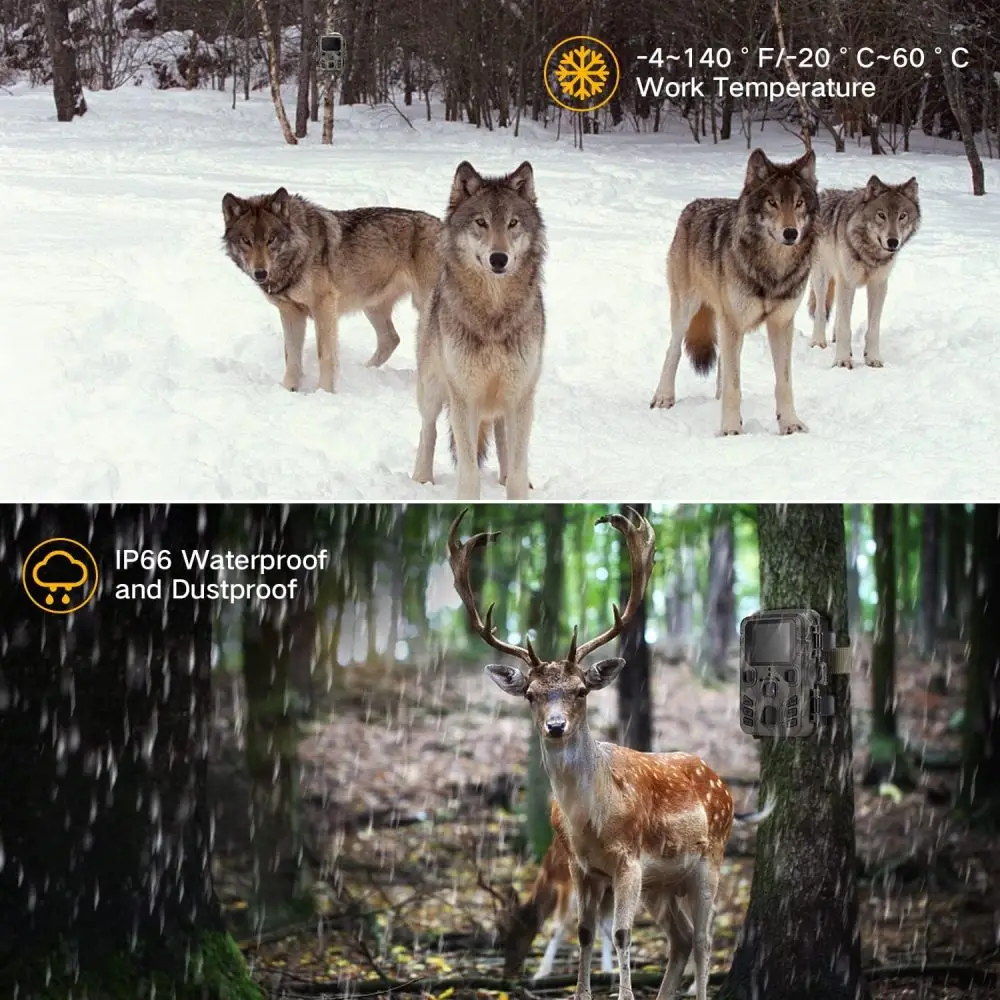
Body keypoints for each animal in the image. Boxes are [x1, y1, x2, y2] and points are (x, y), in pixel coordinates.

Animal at [223, 188, 442, 390]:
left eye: (271, 240)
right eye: (246, 240)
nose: (260, 273)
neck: (299, 252)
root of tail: (442, 224)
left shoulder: (324, 307)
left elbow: (325, 355)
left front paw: (324, 391)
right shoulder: (290, 313)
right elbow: (291, 356)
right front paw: (288, 389)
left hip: (425, 312)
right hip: (372, 307)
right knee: (391, 339)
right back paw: (363, 371)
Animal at [410, 162, 548, 500]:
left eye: (512, 223)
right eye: (481, 222)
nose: (499, 258)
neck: (493, 316)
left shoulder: (520, 394)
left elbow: (517, 468)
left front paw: (517, 492)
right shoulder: (464, 396)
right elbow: (469, 470)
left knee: (502, 440)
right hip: (433, 388)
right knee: (428, 428)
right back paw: (421, 479)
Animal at [450, 512, 776, 1000]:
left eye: (581, 690)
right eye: (530, 694)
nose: (555, 726)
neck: (591, 821)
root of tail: (725, 789)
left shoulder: (629, 860)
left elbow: (621, 934)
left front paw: (621, 991)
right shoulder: (581, 867)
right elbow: (584, 931)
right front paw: (582, 992)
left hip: (709, 859)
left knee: (703, 937)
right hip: (663, 883)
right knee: (680, 938)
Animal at [648, 146, 820, 436]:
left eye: (799, 203)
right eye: (772, 202)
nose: (791, 233)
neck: (773, 270)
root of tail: (695, 204)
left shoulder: (780, 323)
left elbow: (783, 383)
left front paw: (790, 423)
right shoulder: (734, 322)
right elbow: (734, 386)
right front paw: (730, 429)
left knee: (722, 364)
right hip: (687, 310)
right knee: (674, 350)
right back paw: (663, 397)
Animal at [804, 175, 920, 368]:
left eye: (902, 216)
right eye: (881, 215)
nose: (893, 241)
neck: (870, 254)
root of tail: (822, 194)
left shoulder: (878, 285)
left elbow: (873, 328)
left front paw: (872, 358)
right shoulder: (847, 282)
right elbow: (845, 328)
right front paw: (842, 360)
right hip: (822, 277)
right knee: (821, 310)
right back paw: (818, 342)